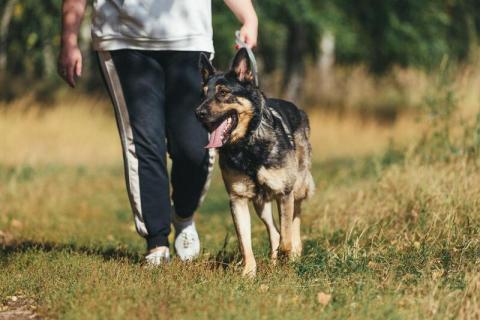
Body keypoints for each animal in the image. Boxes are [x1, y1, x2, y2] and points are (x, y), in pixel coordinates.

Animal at [195, 48, 316, 276]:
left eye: (223, 93)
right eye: (203, 93)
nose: (198, 113)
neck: (247, 146)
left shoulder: (284, 194)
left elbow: (286, 236)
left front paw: (288, 258)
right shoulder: (238, 199)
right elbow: (245, 243)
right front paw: (249, 273)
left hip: (297, 187)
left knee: (294, 218)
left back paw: (295, 252)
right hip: (260, 203)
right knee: (274, 231)